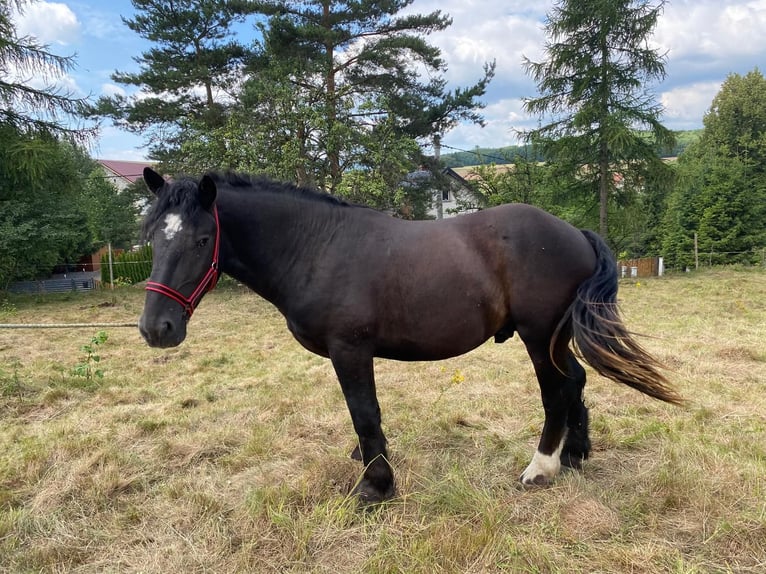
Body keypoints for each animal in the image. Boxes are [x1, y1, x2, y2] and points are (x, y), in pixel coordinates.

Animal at [140, 166, 684, 504]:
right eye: (152, 238)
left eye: (202, 240)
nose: (156, 328)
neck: (316, 246)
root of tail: (574, 233)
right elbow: (361, 417)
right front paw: (366, 463)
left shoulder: (350, 350)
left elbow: (365, 413)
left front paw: (375, 486)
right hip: (555, 337)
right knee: (576, 383)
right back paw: (575, 455)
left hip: (537, 336)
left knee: (557, 390)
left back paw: (541, 467)